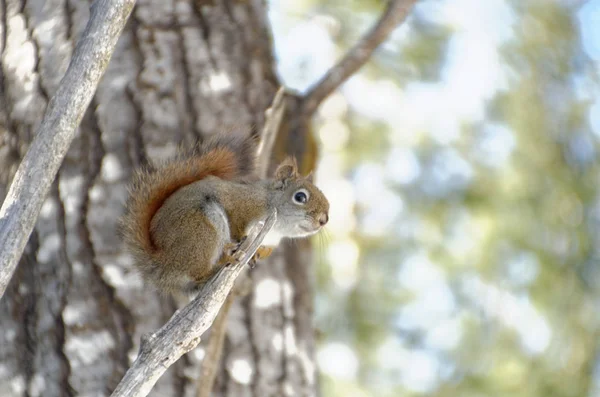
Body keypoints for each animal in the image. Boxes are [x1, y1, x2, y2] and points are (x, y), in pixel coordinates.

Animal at [119, 132, 330, 294]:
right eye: (300, 197)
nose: (324, 220)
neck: (277, 228)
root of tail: (162, 265)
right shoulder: (242, 204)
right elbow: (237, 221)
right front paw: (240, 238)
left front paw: (255, 257)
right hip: (201, 232)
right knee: (198, 273)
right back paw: (224, 259)